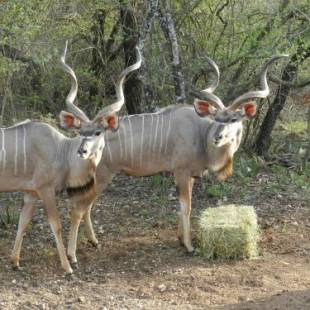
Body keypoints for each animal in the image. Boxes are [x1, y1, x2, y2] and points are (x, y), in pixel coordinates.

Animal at [6, 42, 142, 272]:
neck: (61, 150)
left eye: (98, 132)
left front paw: (15, 261)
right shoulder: (46, 190)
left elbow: (23, 222)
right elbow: (56, 225)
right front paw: (67, 265)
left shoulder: (30, 193)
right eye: (79, 132)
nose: (83, 151)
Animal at [74, 54, 286, 256]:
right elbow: (187, 206)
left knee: (87, 207)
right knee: (82, 207)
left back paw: (93, 241)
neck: (201, 132)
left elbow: (185, 205)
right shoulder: (181, 172)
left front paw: (180, 238)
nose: (217, 137)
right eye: (217, 118)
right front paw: (189, 246)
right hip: (102, 176)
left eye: (234, 119)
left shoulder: (190, 175)